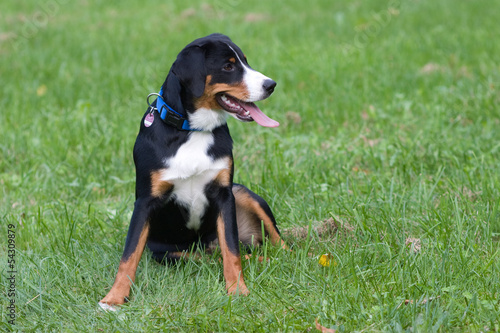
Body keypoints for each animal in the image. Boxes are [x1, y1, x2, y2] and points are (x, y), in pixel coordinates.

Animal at [98, 33, 286, 308]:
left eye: (245, 61)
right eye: (228, 67)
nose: (270, 85)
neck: (193, 130)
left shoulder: (224, 194)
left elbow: (232, 251)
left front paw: (238, 290)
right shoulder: (145, 201)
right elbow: (128, 256)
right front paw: (114, 298)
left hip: (242, 193)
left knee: (272, 245)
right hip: (171, 253)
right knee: (210, 257)